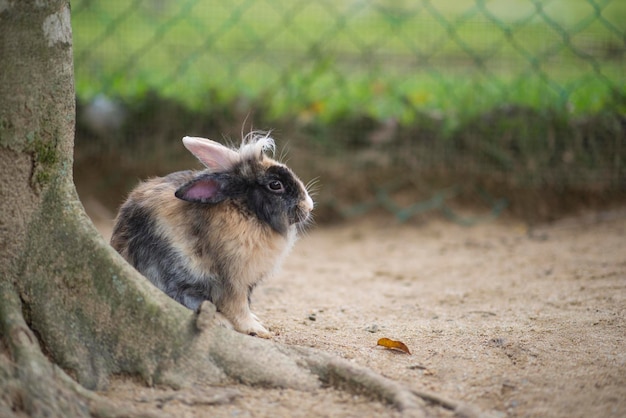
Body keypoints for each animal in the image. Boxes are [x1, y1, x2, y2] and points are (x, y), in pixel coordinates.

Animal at [109, 132, 312, 338]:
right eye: (275, 185)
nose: (309, 206)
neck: (243, 209)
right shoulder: (233, 281)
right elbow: (238, 307)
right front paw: (257, 330)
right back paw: (221, 321)